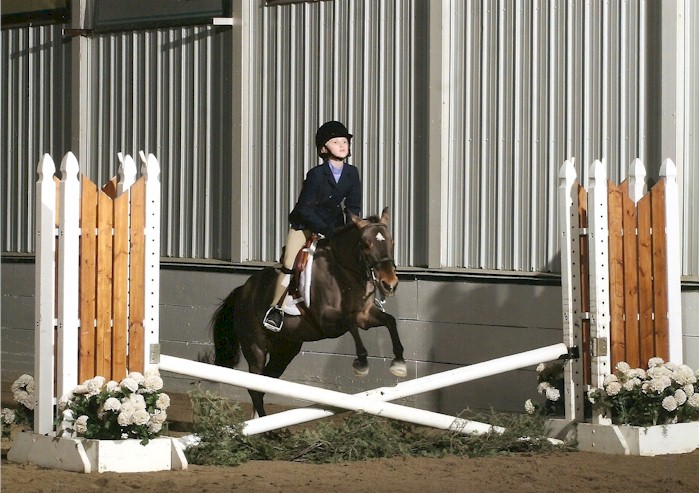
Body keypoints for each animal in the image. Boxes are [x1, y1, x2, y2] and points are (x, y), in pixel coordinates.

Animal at [215, 208, 410, 416]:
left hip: (285, 349)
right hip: (255, 347)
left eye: (392, 242)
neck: (344, 271)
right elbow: (350, 323)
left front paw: (399, 363)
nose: (389, 284)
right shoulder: (327, 319)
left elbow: (389, 320)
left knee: (264, 384)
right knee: (254, 386)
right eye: (366, 245)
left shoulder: (364, 316)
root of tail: (242, 291)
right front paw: (362, 363)